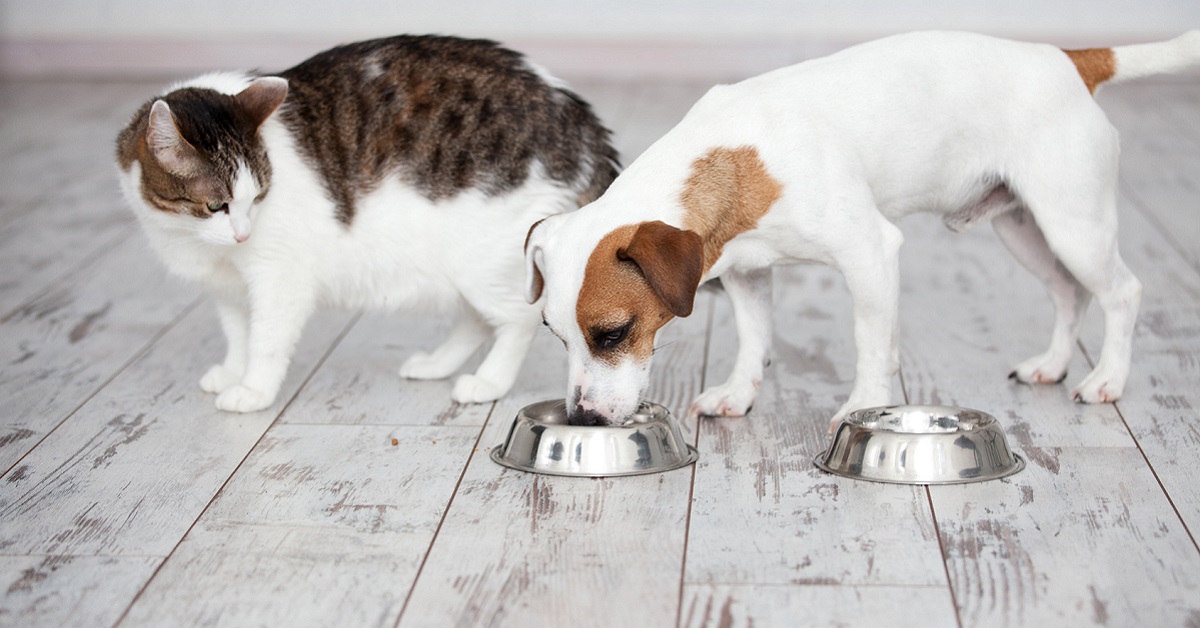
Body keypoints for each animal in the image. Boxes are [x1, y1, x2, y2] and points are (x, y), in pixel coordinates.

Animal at [114, 36, 619, 415]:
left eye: (257, 197)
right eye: (218, 206)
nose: (243, 233)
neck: (200, 243)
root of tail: (582, 126)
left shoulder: (279, 280)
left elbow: (266, 341)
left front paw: (253, 389)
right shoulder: (229, 289)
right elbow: (239, 335)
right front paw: (232, 371)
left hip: (485, 256)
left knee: (516, 319)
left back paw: (488, 382)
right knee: (476, 319)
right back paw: (437, 364)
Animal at [523, 31, 1200, 429]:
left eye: (613, 334)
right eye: (554, 335)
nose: (581, 419)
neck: (738, 159)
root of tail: (1069, 59)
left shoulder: (870, 255)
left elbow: (871, 344)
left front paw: (862, 405)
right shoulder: (747, 273)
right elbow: (752, 338)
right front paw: (740, 391)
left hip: (1072, 225)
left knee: (1121, 292)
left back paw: (1108, 378)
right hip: (1024, 231)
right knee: (1068, 293)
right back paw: (1054, 364)